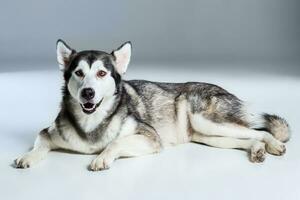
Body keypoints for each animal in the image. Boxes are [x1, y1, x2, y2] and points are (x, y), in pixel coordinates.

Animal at [14, 39, 290, 171]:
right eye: (78, 73)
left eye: (102, 73)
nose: (88, 93)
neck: (92, 124)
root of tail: (222, 88)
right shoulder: (48, 132)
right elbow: (39, 143)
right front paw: (27, 156)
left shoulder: (149, 137)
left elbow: (116, 142)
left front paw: (102, 158)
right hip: (208, 136)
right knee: (248, 138)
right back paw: (256, 150)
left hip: (207, 121)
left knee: (260, 131)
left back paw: (274, 144)